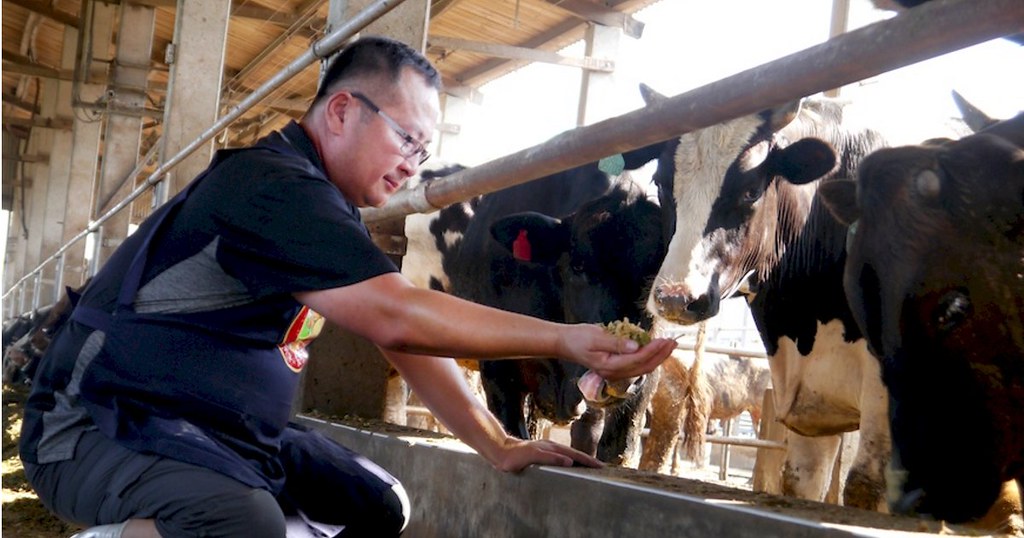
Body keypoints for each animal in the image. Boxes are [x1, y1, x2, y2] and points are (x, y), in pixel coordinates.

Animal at [638, 83, 897, 508]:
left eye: (751, 190)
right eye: (661, 183)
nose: (675, 298)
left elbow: (865, 485)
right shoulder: (812, 402)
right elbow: (801, 479)